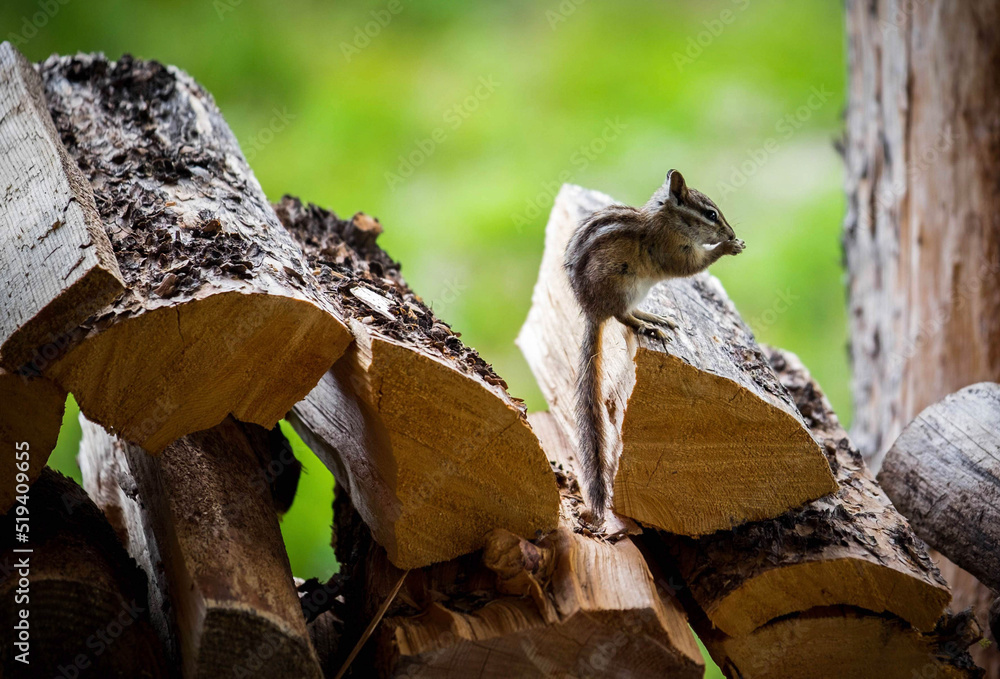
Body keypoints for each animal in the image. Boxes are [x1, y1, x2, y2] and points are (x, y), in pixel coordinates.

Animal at [563, 169, 744, 527]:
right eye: (711, 214)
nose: (731, 232)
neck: (667, 220)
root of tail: (591, 309)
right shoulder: (673, 251)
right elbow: (691, 266)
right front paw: (727, 247)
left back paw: (653, 317)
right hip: (624, 283)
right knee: (621, 316)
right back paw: (646, 325)